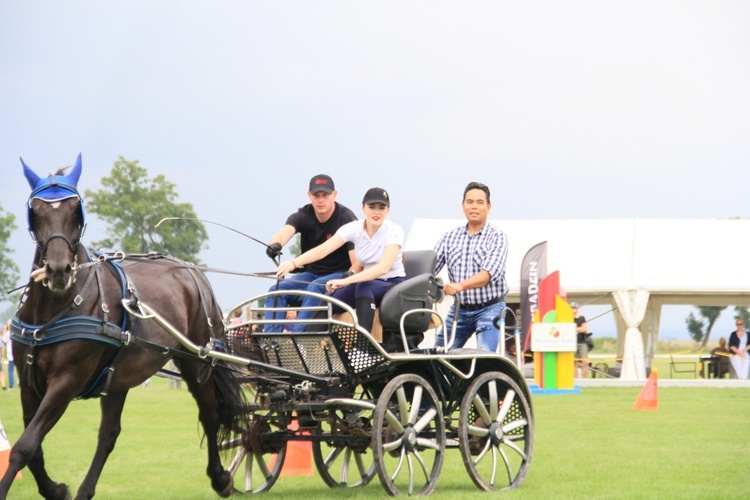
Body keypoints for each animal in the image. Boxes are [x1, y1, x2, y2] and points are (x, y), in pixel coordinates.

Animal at [0, 154, 247, 498]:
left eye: (76, 210)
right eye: (35, 212)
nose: (59, 270)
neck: (53, 308)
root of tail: (192, 271)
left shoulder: (65, 382)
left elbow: (24, 446)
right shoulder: (28, 383)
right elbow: (32, 449)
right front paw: (56, 489)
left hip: (196, 363)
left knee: (209, 415)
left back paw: (220, 478)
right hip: (117, 378)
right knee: (109, 434)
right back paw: (85, 490)